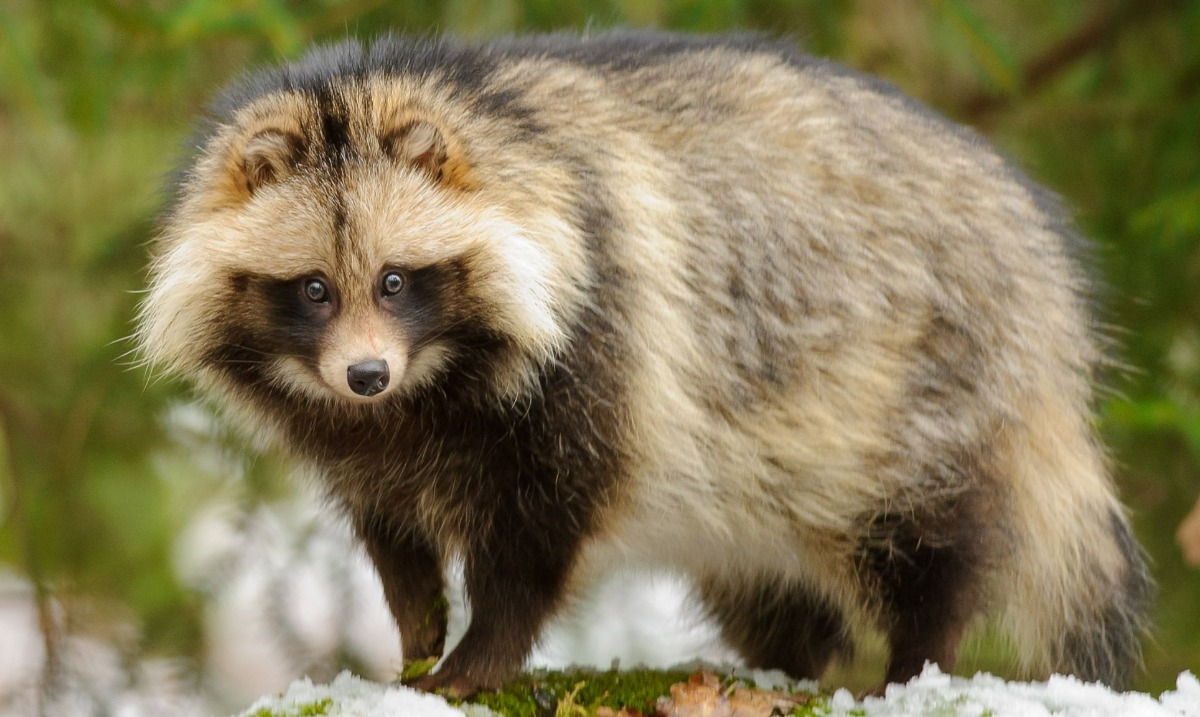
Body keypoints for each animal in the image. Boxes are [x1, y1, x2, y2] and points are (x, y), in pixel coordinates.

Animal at [138, 32, 1151, 696]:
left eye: (394, 280)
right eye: (313, 289)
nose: (364, 376)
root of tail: (1045, 270)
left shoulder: (602, 333)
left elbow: (542, 526)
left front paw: (478, 653)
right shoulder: (358, 437)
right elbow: (393, 534)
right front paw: (417, 633)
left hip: (922, 381)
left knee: (930, 540)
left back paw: (915, 660)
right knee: (771, 583)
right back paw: (785, 660)